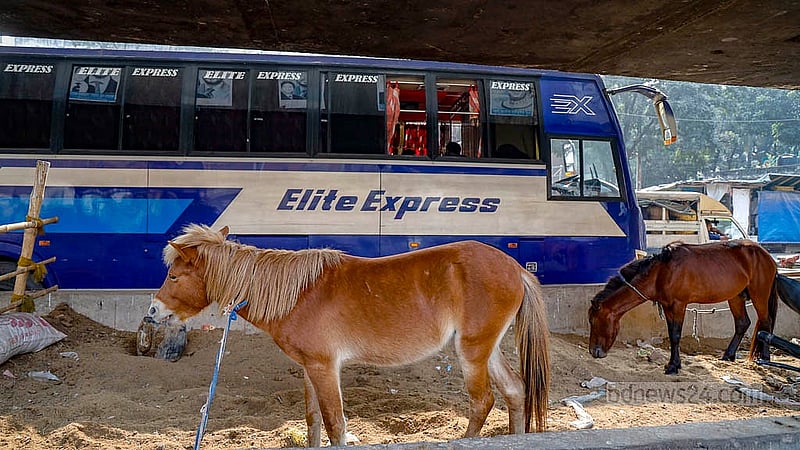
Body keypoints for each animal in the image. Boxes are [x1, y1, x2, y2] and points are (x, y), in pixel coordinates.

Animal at [147, 224, 550, 446]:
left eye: (174, 276)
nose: (152, 311)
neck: (298, 293)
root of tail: (515, 267)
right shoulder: (310, 369)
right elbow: (313, 422)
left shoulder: (325, 368)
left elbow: (335, 424)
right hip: (487, 349)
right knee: (515, 391)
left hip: (472, 352)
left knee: (483, 401)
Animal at [588, 240, 778, 375]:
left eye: (593, 321)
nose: (593, 351)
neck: (661, 272)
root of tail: (765, 254)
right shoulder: (667, 306)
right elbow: (672, 334)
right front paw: (674, 364)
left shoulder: (678, 305)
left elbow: (675, 335)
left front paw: (673, 366)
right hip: (736, 296)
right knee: (742, 323)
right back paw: (728, 355)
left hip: (759, 294)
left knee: (765, 322)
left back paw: (765, 358)